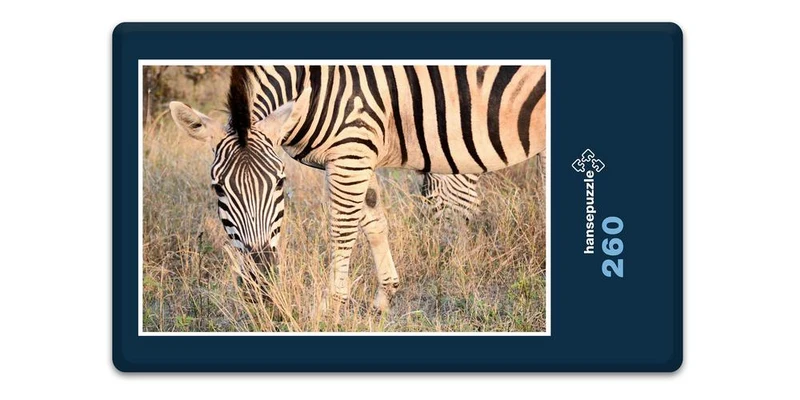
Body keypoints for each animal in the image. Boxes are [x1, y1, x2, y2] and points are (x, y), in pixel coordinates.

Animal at [169, 65, 547, 312]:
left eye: (280, 182)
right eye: (218, 189)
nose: (261, 275)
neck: (314, 86)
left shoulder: (351, 149)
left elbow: (342, 228)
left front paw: (333, 305)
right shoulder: (353, 154)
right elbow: (373, 219)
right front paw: (385, 295)